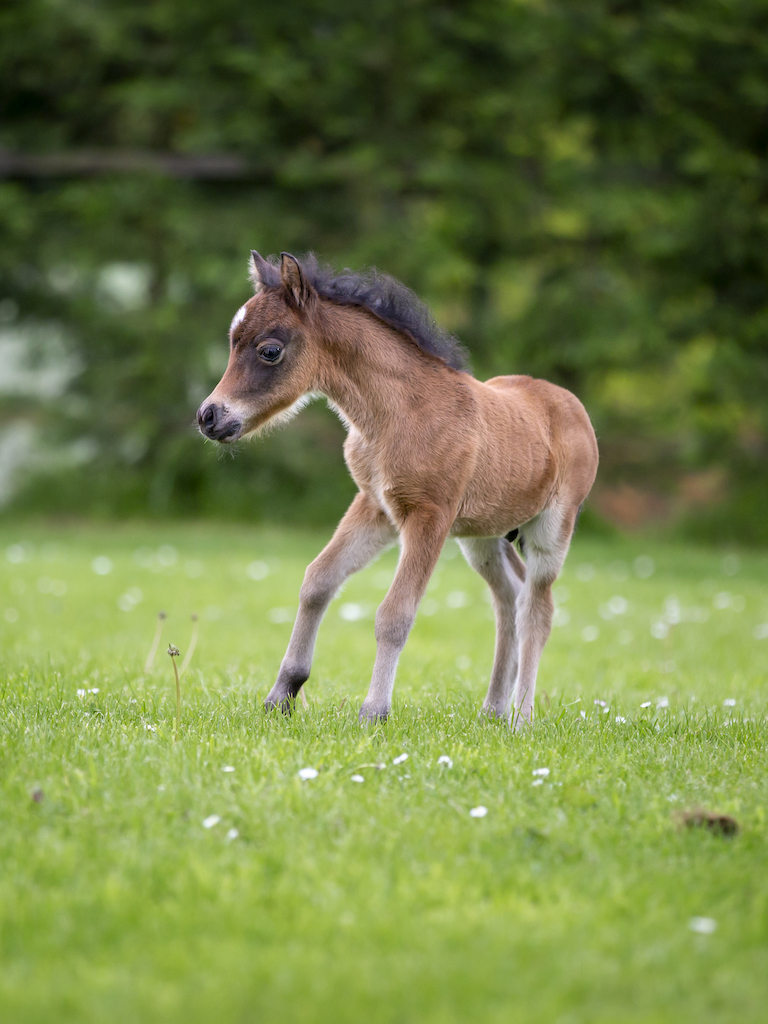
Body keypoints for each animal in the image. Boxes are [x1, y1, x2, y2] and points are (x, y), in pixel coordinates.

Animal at [197, 252, 598, 727]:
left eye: (270, 350)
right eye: (231, 342)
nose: (208, 416)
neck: (396, 414)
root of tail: (568, 403)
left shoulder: (429, 515)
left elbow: (395, 614)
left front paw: (373, 711)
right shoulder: (376, 507)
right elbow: (317, 581)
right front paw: (283, 694)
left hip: (552, 527)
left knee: (537, 608)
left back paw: (520, 717)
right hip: (483, 536)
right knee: (509, 599)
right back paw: (493, 710)